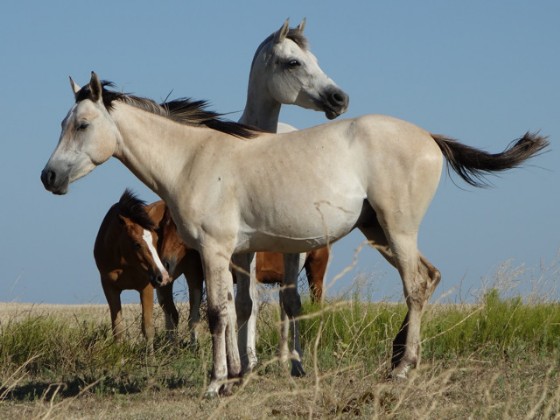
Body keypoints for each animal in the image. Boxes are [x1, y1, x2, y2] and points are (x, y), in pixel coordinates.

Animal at [41, 73, 548, 398]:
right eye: (62, 124)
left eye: (82, 124)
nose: (49, 177)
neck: (193, 159)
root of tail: (428, 137)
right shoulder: (237, 255)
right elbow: (239, 310)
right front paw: (237, 377)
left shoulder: (215, 251)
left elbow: (216, 314)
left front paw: (215, 383)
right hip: (379, 231)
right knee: (429, 276)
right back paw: (398, 357)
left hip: (398, 228)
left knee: (416, 285)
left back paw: (403, 369)